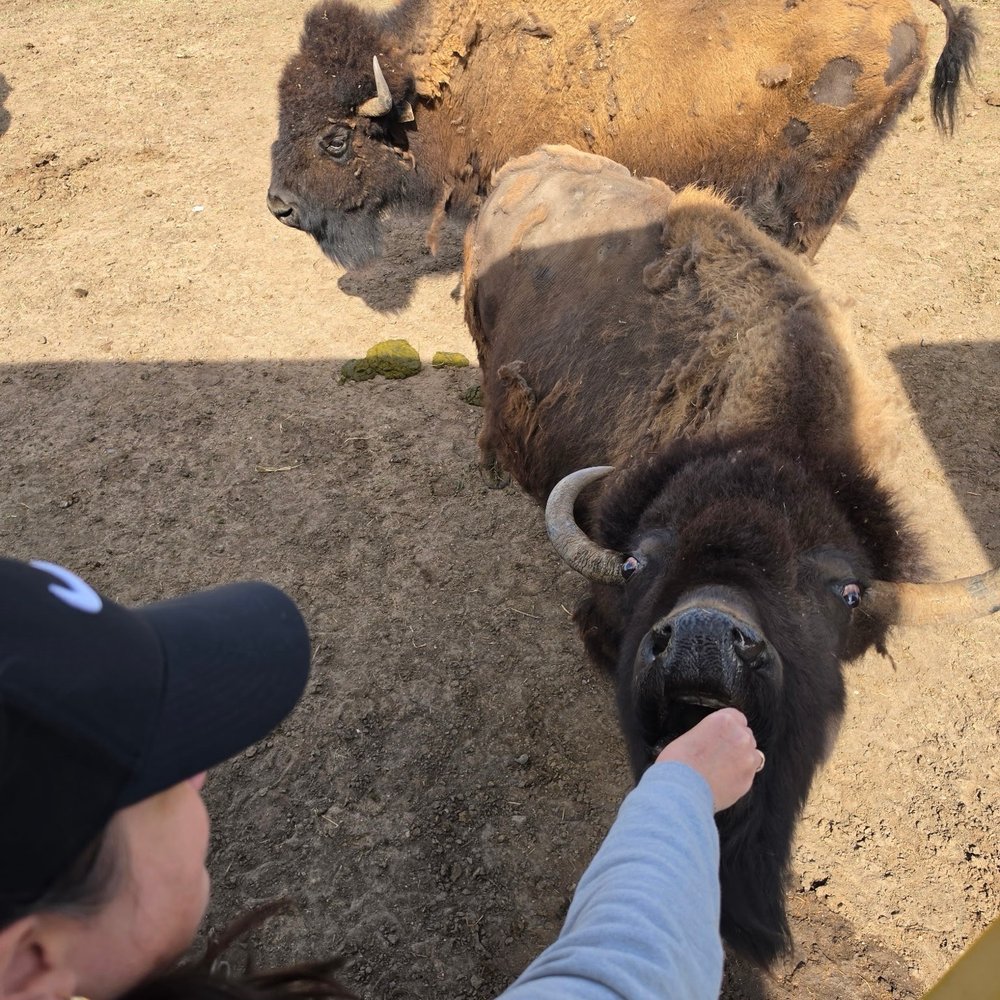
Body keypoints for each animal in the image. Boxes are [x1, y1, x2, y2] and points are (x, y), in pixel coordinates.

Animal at [268, 0, 976, 268]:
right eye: (281, 111)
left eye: (336, 140)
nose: (279, 206)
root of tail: (907, 13)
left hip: (824, 169)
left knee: (811, 224)